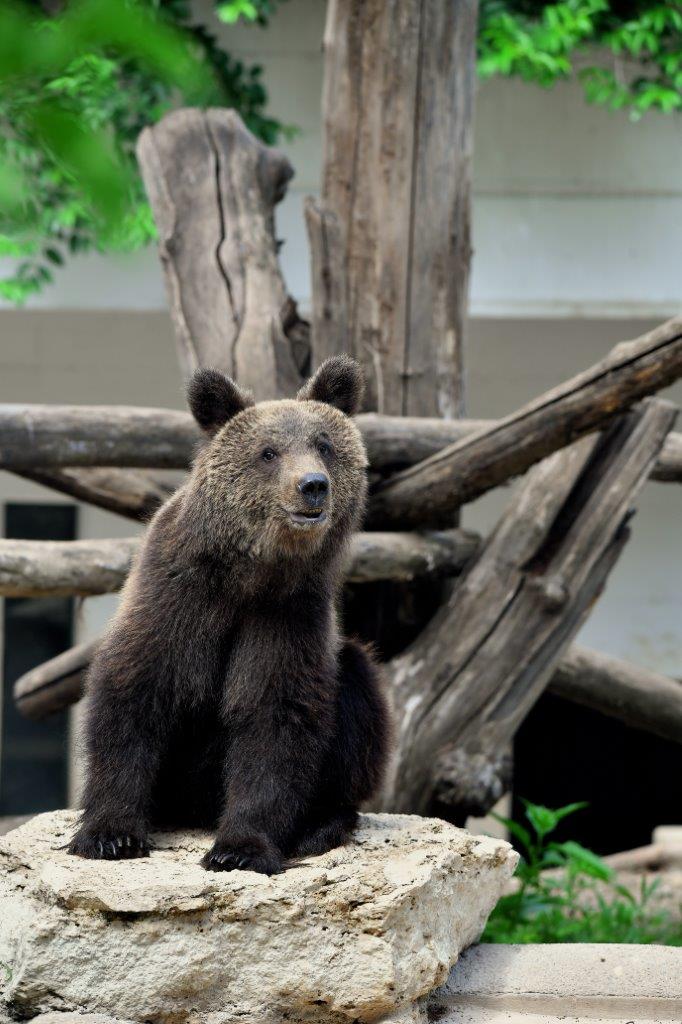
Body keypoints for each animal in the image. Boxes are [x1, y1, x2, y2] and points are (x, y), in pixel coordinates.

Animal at [69, 354, 391, 872]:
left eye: (324, 445)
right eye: (268, 452)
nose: (313, 486)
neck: (249, 574)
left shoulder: (289, 612)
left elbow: (275, 716)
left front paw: (240, 848)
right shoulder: (175, 597)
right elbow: (133, 693)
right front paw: (109, 834)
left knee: (358, 687)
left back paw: (319, 827)